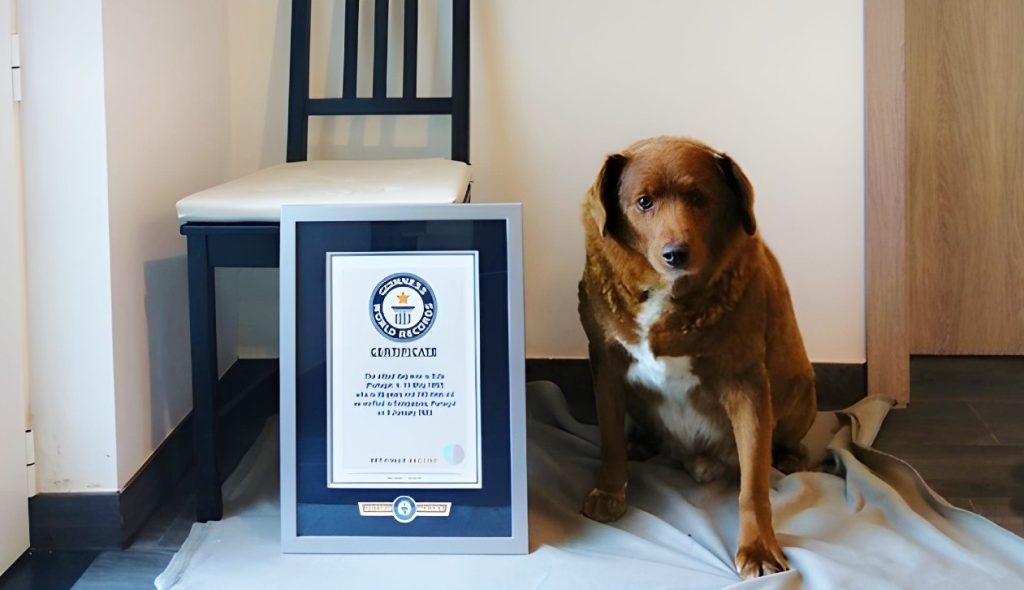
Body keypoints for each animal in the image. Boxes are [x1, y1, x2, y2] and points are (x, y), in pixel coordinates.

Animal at [577, 136, 816, 578]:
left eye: (700, 198)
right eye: (644, 201)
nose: (676, 253)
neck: (665, 293)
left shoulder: (747, 384)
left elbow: (753, 484)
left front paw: (758, 548)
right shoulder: (605, 363)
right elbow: (609, 441)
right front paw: (609, 491)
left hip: (801, 387)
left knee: (784, 446)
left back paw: (790, 458)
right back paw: (641, 442)